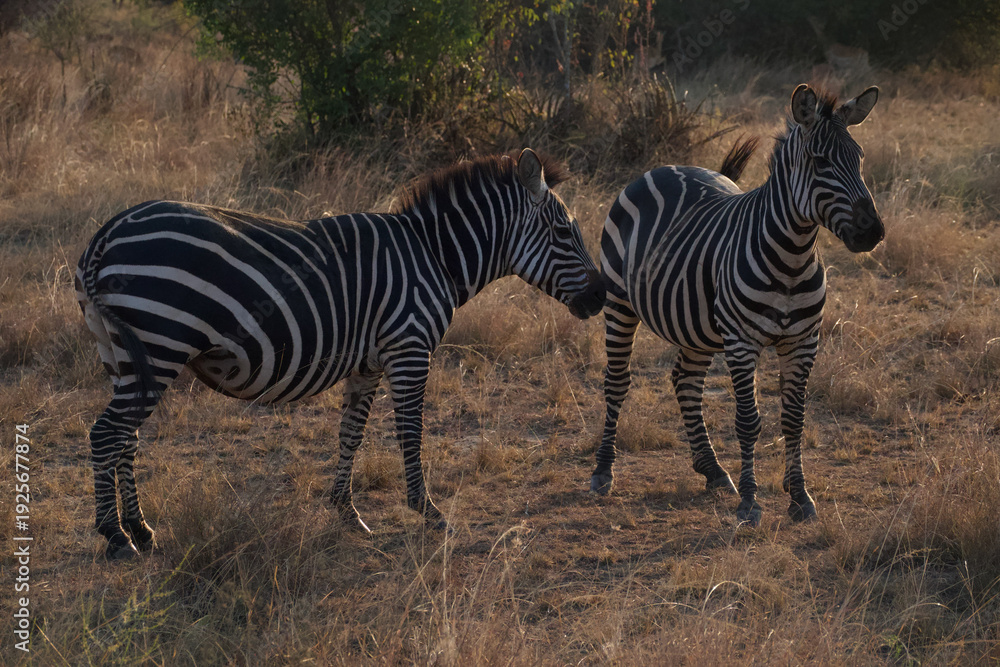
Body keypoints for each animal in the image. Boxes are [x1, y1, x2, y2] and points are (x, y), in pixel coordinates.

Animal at [76, 149, 605, 559]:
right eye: (565, 233)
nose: (600, 298)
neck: (434, 255)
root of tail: (105, 234)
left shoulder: (368, 363)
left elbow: (351, 433)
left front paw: (346, 512)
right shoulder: (409, 347)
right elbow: (411, 432)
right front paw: (429, 512)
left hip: (123, 355)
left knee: (126, 437)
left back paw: (142, 529)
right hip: (159, 344)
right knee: (106, 434)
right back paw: (116, 537)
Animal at [590, 84, 884, 527]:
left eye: (860, 157)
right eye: (820, 161)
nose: (873, 232)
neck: (793, 257)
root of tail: (663, 167)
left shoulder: (803, 342)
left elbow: (793, 420)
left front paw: (800, 496)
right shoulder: (742, 342)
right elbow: (748, 422)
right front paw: (750, 501)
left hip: (694, 323)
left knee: (685, 381)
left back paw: (712, 469)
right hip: (619, 304)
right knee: (617, 382)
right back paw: (604, 470)